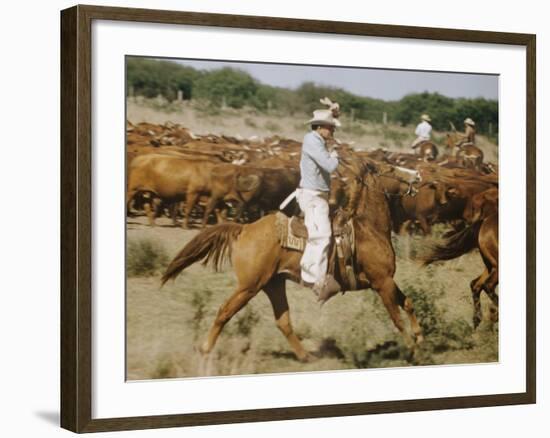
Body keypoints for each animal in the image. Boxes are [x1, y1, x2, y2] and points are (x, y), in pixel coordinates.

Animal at [162, 163, 424, 362]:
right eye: (391, 168)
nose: (418, 175)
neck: (370, 229)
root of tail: (244, 229)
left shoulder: (386, 281)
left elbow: (408, 303)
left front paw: (420, 337)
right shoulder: (382, 282)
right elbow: (397, 318)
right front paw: (412, 349)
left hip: (274, 284)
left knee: (283, 321)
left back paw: (306, 356)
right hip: (249, 287)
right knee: (225, 311)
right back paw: (205, 349)